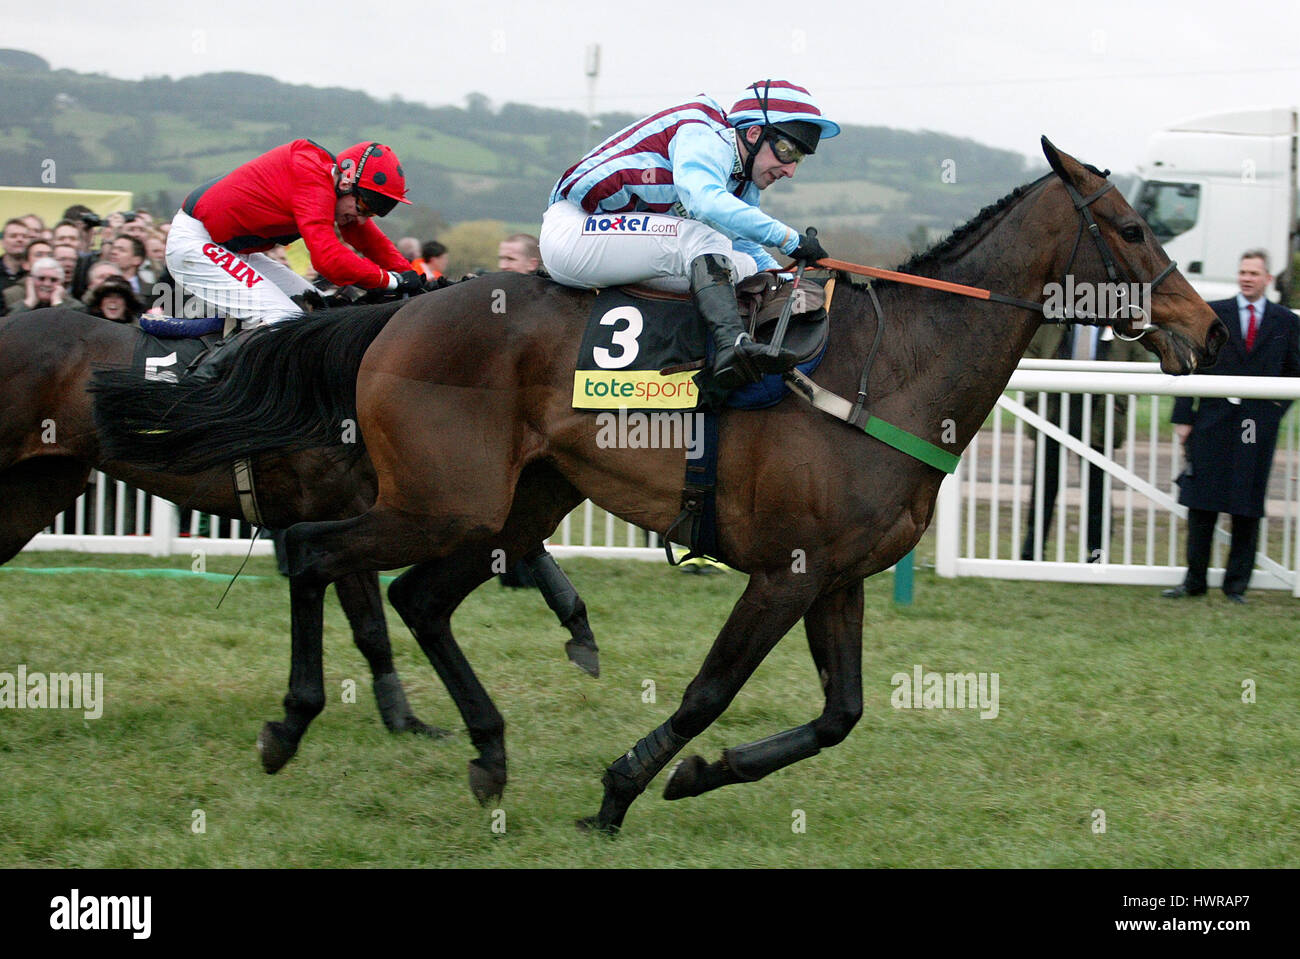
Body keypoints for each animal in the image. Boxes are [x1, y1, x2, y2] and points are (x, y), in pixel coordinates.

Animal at [0, 298, 598, 764]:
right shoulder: (362, 507)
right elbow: (372, 625)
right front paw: (397, 717)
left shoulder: (432, 502)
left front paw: (577, 627)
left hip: (41, 486)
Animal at [91, 138, 1227, 826]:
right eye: (1133, 227)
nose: (1210, 327)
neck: (895, 363)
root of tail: (401, 307)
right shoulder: (786, 569)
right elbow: (709, 687)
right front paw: (623, 786)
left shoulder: (840, 575)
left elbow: (841, 713)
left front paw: (697, 773)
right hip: (444, 499)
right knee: (312, 550)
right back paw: (291, 723)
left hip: (514, 501)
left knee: (415, 597)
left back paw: (488, 750)